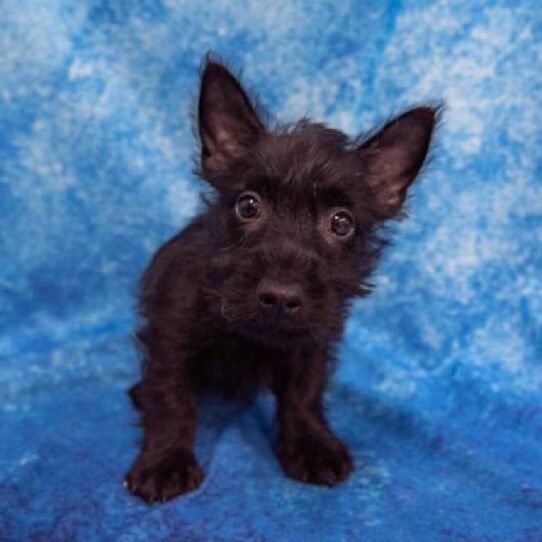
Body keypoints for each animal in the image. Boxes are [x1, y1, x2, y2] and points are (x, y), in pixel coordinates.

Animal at [124, 57, 438, 504]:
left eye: (341, 223)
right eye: (248, 205)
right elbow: (172, 396)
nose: (280, 296)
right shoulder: (172, 331)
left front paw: (312, 446)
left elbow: (303, 394)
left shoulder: (312, 342)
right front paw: (165, 461)